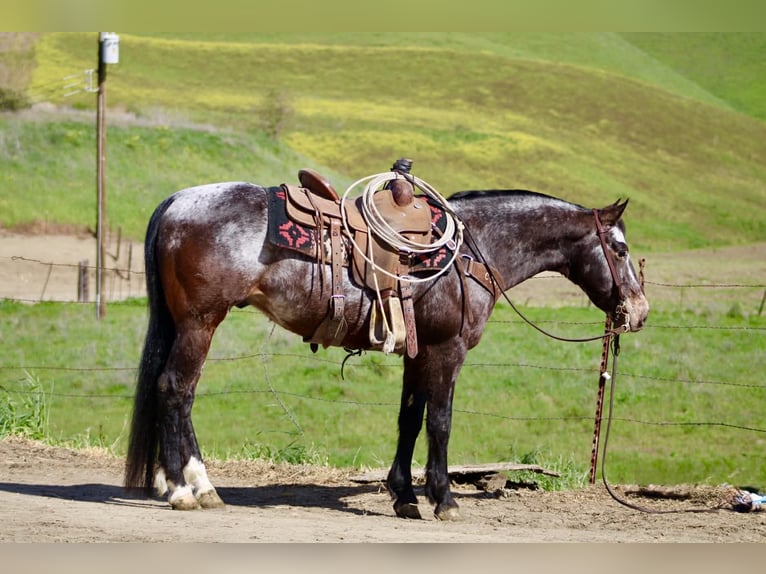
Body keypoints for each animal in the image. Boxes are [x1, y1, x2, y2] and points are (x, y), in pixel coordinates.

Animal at [124, 174, 649, 521]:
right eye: (620, 249)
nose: (640, 311)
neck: (471, 252)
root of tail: (178, 201)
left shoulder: (419, 353)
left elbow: (409, 419)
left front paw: (405, 497)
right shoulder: (447, 350)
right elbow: (440, 422)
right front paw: (443, 498)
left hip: (183, 324)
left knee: (171, 390)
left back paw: (182, 482)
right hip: (200, 323)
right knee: (176, 390)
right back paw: (187, 488)